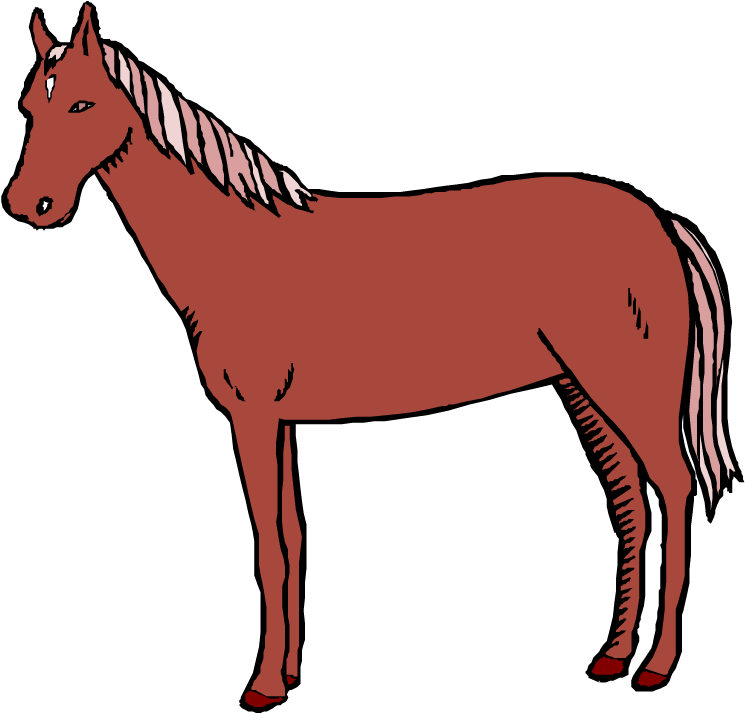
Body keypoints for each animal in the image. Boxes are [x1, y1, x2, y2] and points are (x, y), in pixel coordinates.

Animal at [7, 5, 734, 705]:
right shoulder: (282, 419)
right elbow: (294, 537)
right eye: (30, 105)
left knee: (670, 487)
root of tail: (659, 222)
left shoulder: (253, 414)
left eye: (81, 105)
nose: (27, 204)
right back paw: (614, 654)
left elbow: (268, 547)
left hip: (625, 383)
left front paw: (263, 685)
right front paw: (292, 671)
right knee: (630, 498)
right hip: (586, 387)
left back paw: (657, 665)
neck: (235, 251)